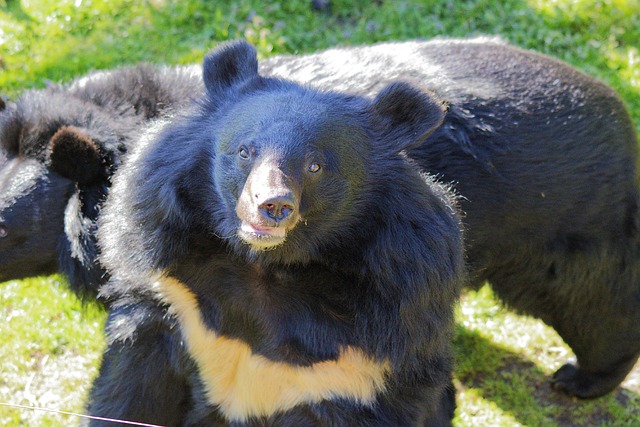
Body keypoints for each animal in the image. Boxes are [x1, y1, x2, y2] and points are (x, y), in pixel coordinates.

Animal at [86, 41, 464, 427]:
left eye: (315, 166)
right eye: (244, 151)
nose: (273, 205)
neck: (265, 265)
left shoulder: (370, 353)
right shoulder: (171, 295)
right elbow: (130, 389)